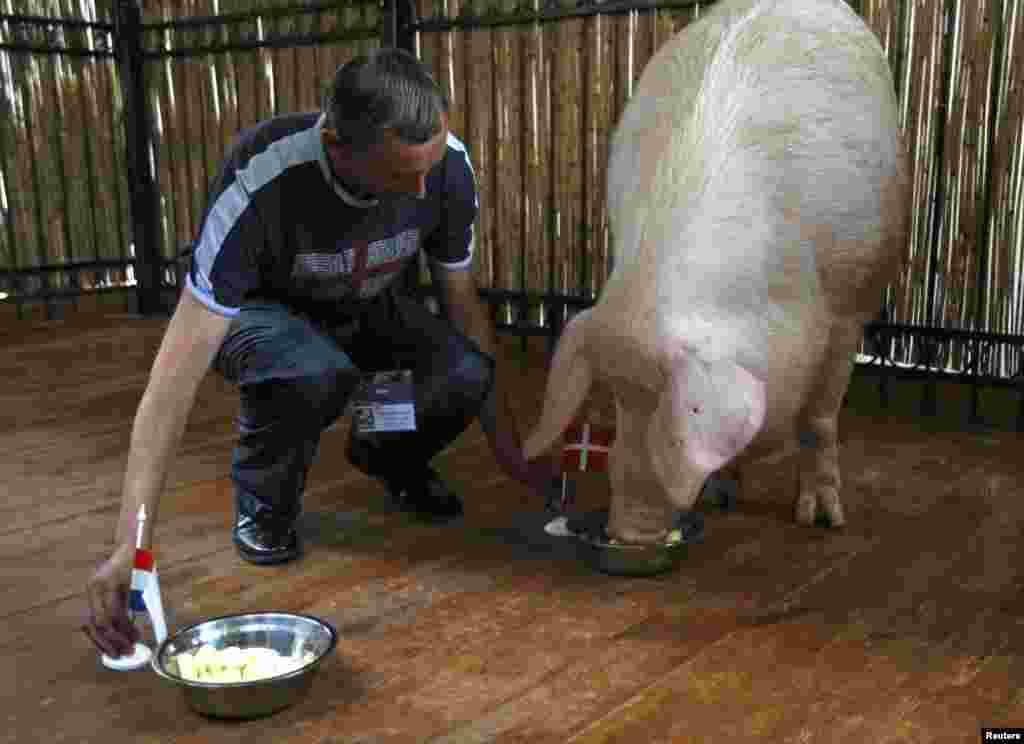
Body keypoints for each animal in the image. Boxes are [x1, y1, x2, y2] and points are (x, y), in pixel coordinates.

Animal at [524, 0, 909, 548]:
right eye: (617, 398)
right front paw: (720, 493)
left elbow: (819, 419)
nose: (628, 532)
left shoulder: (849, 307)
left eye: (665, 406)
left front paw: (821, 519)